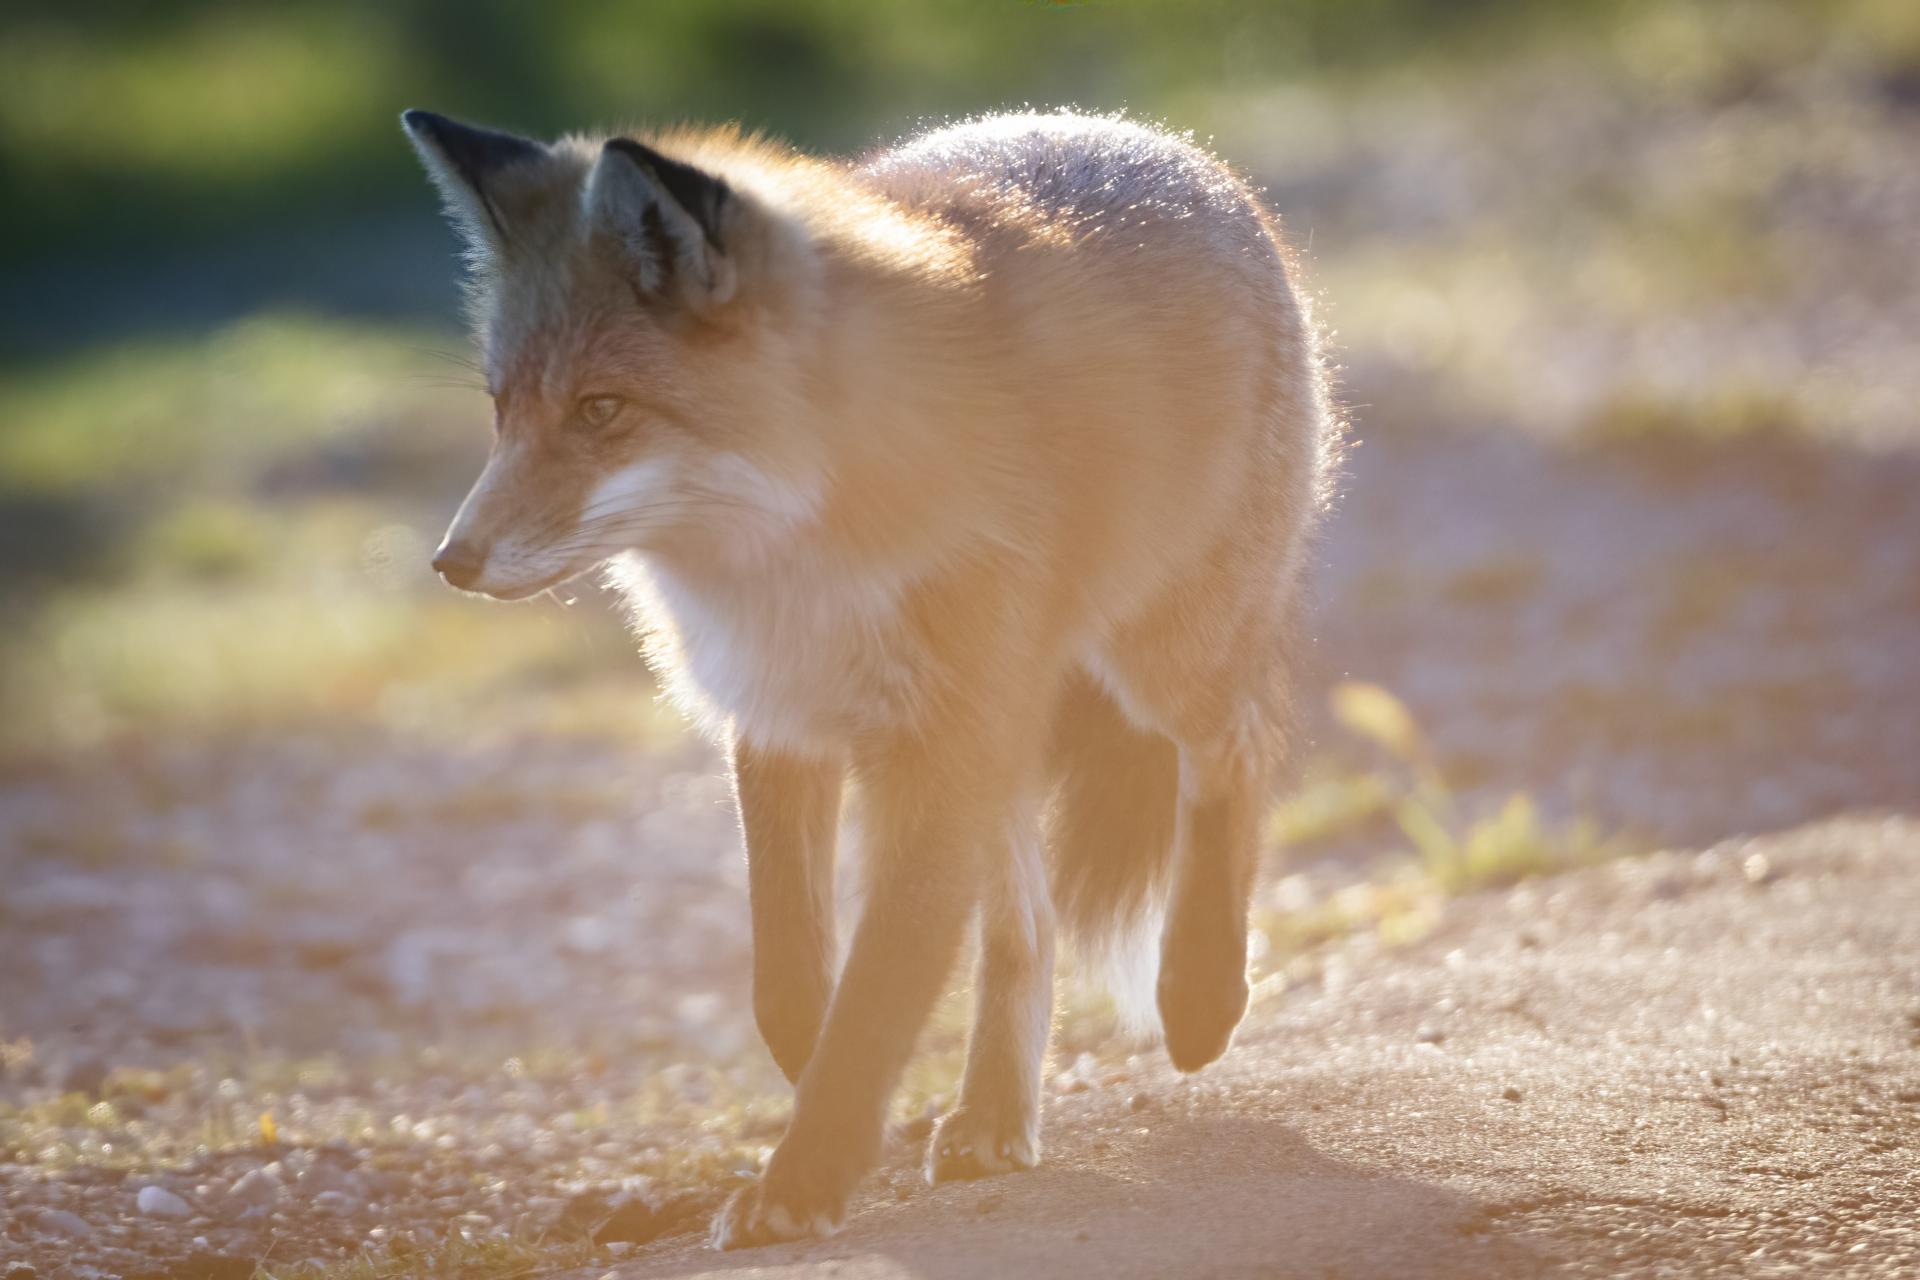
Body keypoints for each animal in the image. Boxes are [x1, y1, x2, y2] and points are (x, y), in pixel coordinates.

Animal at [401, 106, 1338, 1248]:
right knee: (1027, 926)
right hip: (1006, 723)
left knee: (1237, 748)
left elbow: (884, 981)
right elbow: (792, 974)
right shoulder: (778, 718)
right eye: (503, 408)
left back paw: (1199, 991)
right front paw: (826, 1093)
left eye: (601, 409)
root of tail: (1147, 137)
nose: (451, 560)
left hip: (1160, 659)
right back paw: (994, 1116)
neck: (796, 548)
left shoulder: (933, 740)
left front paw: (806, 1175)